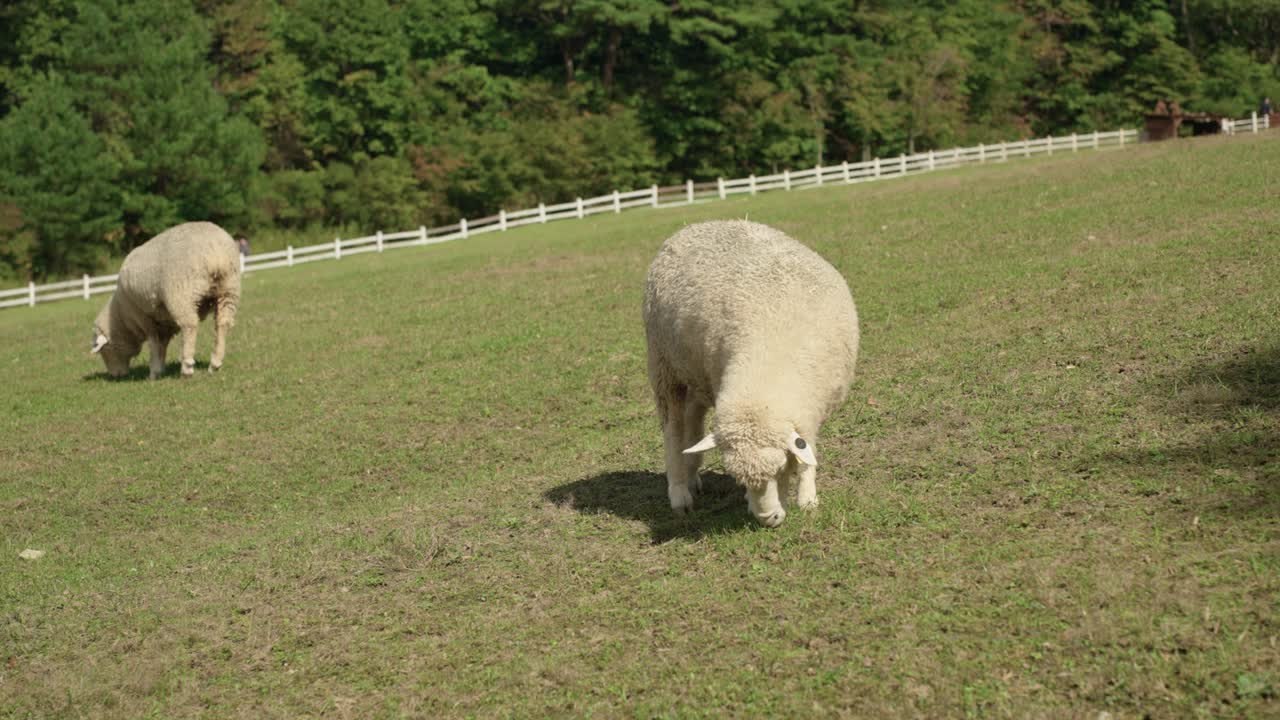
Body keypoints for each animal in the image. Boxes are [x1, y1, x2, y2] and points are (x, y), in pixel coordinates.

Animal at [91, 221, 241, 379]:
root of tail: (216, 252)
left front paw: (153, 372)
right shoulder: (165, 323)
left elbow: (153, 343)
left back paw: (187, 367)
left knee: (190, 326)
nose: (115, 376)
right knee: (223, 323)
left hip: (181, 294)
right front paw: (160, 369)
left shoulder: (144, 318)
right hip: (229, 290)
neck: (122, 317)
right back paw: (215, 363)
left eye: (104, 351)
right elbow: (162, 345)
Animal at [642, 220, 859, 527]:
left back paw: (693, 475)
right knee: (673, 430)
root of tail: (694, 225)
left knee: (692, 417)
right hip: (664, 367)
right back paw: (680, 493)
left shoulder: (812, 408)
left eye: (781, 469)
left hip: (695, 373)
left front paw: (808, 499)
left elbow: (808, 451)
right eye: (740, 480)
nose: (769, 519)